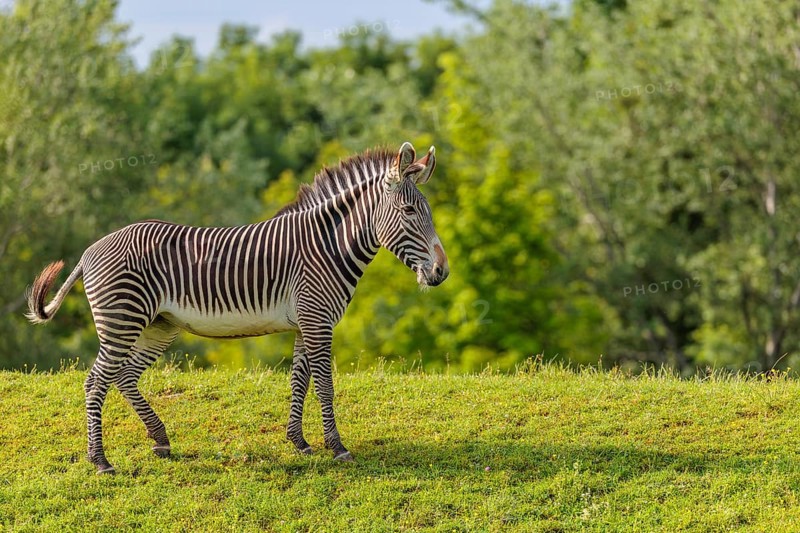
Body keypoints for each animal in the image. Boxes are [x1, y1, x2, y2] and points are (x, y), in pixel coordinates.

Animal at [26, 142, 448, 474]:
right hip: (122, 320)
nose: (441, 272)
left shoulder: (304, 322)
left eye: (427, 211)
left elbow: (299, 380)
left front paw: (299, 442)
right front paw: (338, 448)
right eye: (410, 212)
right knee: (97, 381)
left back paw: (160, 440)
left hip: (158, 325)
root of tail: (90, 251)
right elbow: (324, 385)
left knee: (125, 376)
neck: (329, 246)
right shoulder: (317, 320)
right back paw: (100, 461)